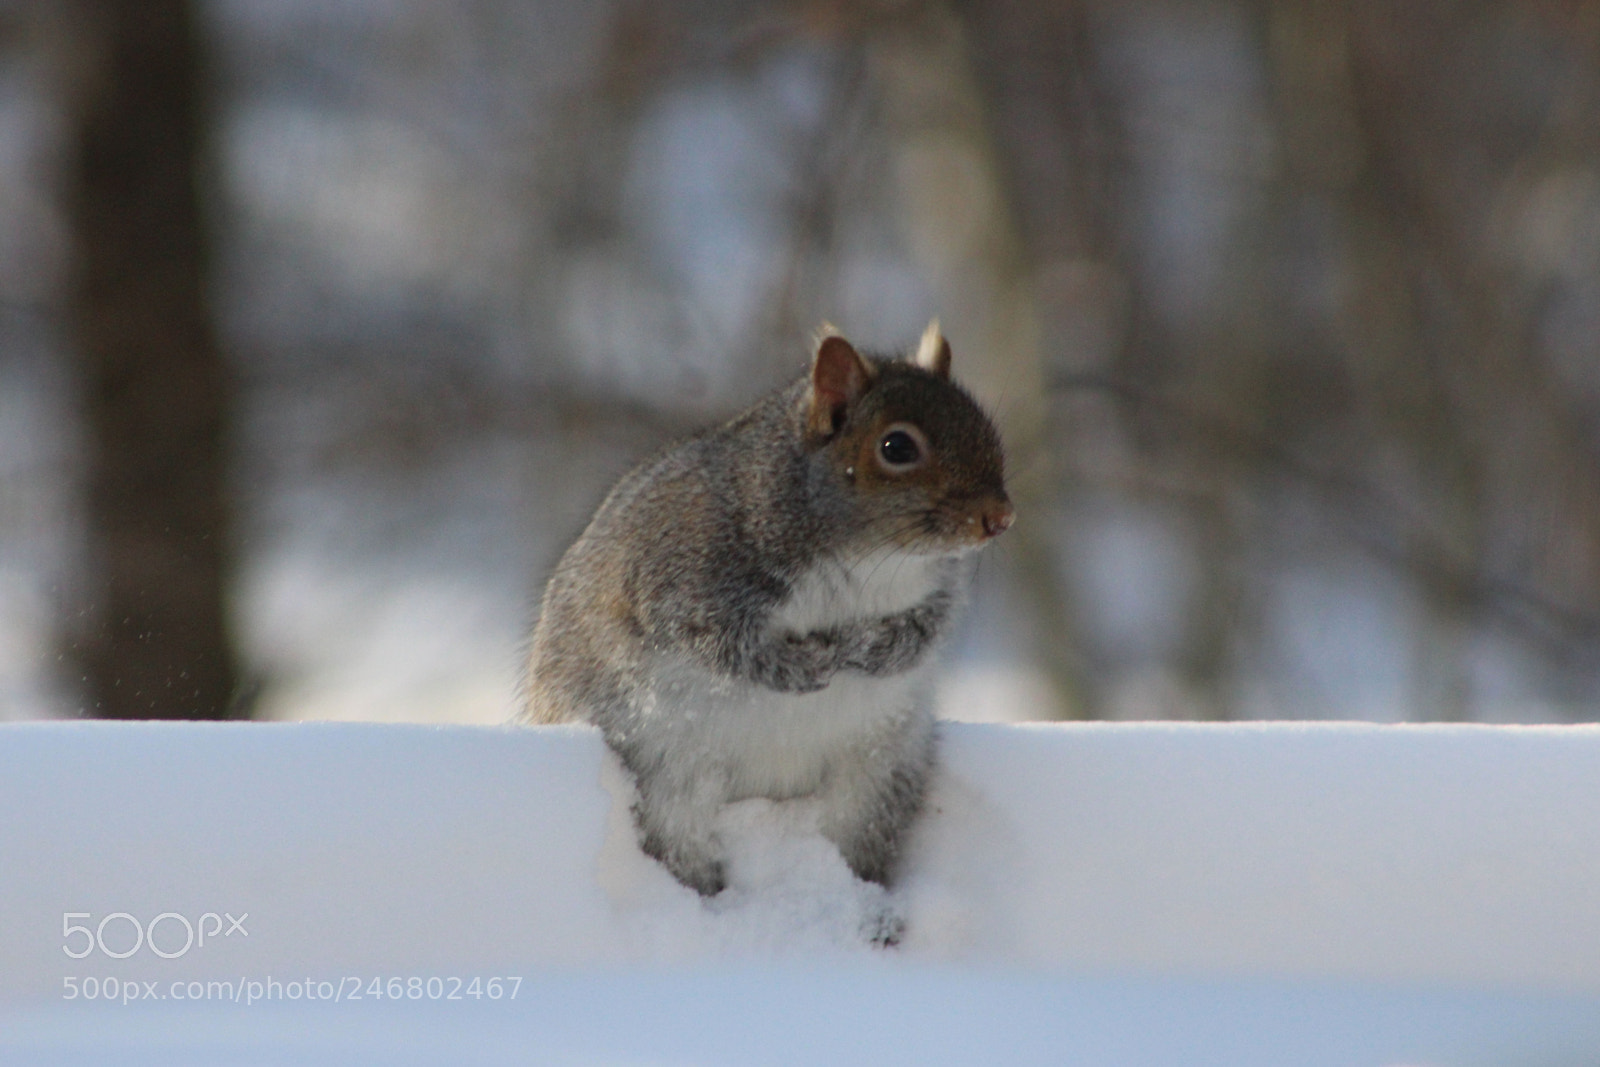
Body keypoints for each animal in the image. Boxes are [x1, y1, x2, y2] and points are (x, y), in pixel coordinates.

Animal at [523, 321, 1013, 900]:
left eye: (984, 424)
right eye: (896, 447)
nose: (1001, 517)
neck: (868, 559)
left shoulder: (938, 591)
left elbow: (924, 632)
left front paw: (877, 649)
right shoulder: (677, 579)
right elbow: (718, 643)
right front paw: (799, 666)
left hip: (875, 785)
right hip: (670, 788)